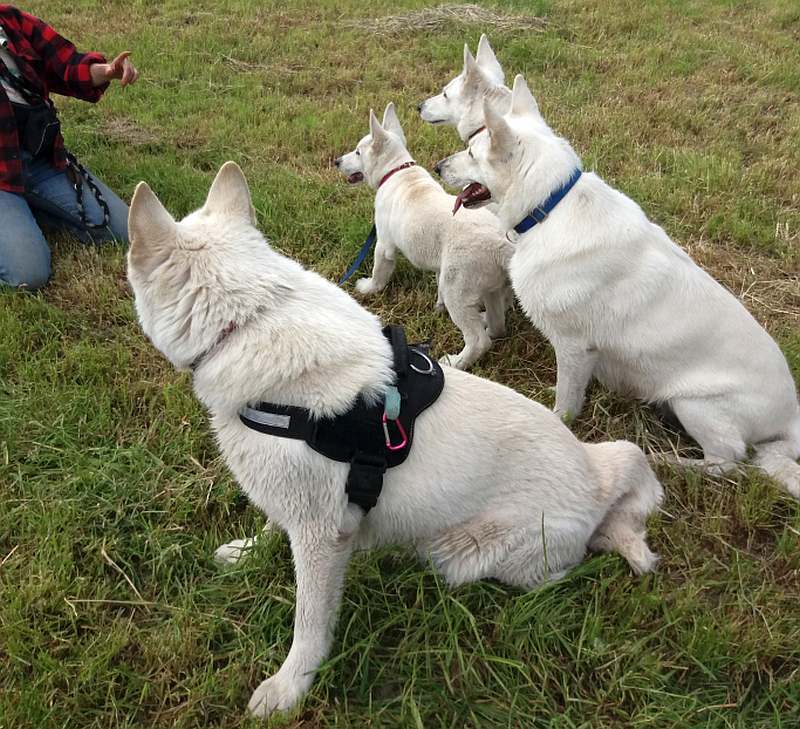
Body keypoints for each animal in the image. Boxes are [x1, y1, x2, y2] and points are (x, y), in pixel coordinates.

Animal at [126, 161, 664, 716]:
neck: (247, 321)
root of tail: (596, 478)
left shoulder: (323, 536)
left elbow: (309, 625)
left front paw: (290, 687)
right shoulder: (294, 498)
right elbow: (274, 524)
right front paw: (248, 552)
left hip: (466, 554)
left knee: (571, 567)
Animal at [332, 102, 512, 370]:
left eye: (357, 152)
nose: (336, 161)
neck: (397, 171)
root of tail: (502, 243)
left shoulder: (383, 245)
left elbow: (379, 272)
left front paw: (369, 288)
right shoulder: (440, 265)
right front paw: (438, 306)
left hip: (457, 286)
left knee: (478, 340)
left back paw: (456, 361)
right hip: (490, 288)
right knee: (498, 325)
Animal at [434, 75, 800, 494]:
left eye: (471, 152)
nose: (437, 166)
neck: (552, 207)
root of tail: (790, 424)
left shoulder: (573, 347)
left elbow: (565, 401)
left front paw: (557, 424)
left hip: (697, 406)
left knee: (727, 463)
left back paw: (670, 462)